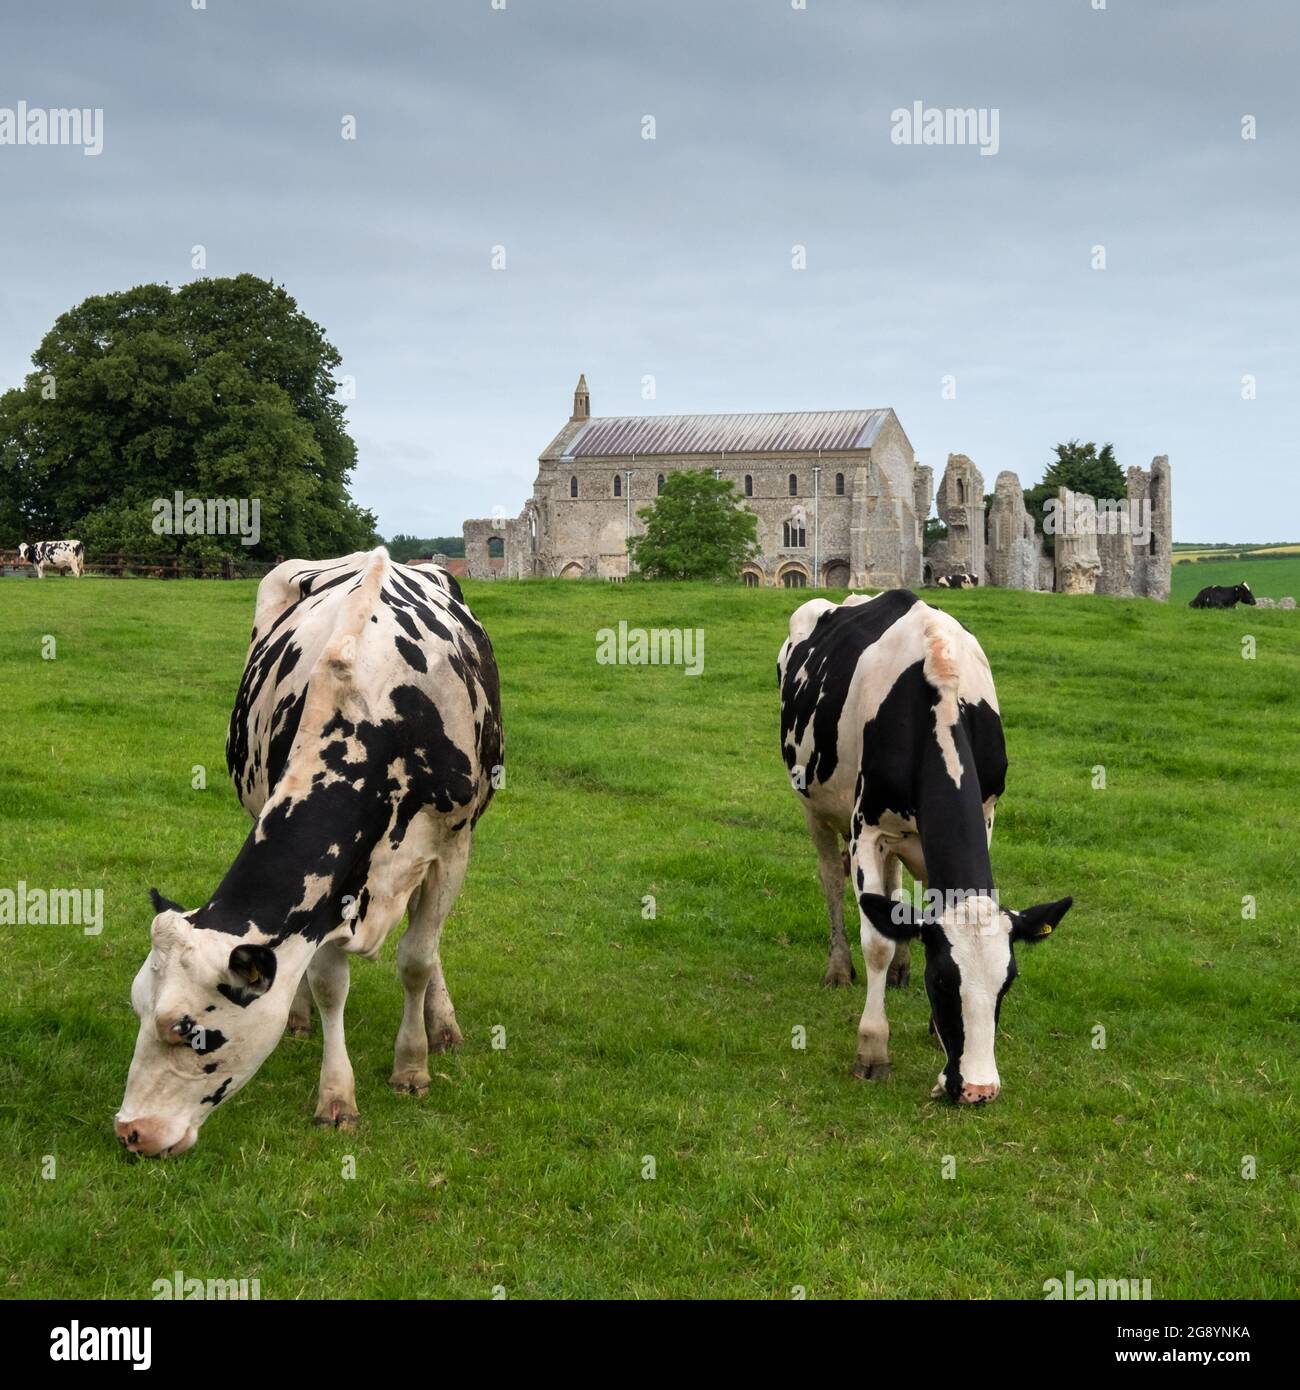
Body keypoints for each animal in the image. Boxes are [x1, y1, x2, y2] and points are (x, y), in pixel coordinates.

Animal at [116, 547, 503, 1156]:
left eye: (189, 1030)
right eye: (137, 1007)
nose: (131, 1132)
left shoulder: (452, 846)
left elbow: (417, 959)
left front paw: (412, 1065)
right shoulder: (324, 894)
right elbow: (327, 985)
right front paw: (337, 1097)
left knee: (427, 941)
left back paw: (442, 1026)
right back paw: (299, 1016)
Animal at [778, 592, 1073, 1100]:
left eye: (1008, 982)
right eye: (941, 979)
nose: (977, 1089)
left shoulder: (986, 811)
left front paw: (935, 1031)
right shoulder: (866, 827)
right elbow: (875, 939)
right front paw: (872, 1049)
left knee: (894, 889)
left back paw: (899, 969)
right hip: (813, 806)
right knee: (831, 879)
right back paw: (839, 967)